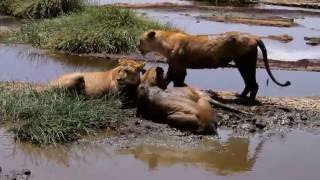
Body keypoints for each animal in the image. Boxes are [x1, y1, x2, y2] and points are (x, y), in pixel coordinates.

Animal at [139, 30, 292, 102]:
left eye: (140, 41)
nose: (137, 46)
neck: (165, 43)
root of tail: (254, 37)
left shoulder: (180, 65)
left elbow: (177, 80)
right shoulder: (173, 64)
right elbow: (169, 77)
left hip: (245, 62)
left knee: (254, 84)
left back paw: (249, 101)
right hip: (241, 63)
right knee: (249, 83)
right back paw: (241, 96)